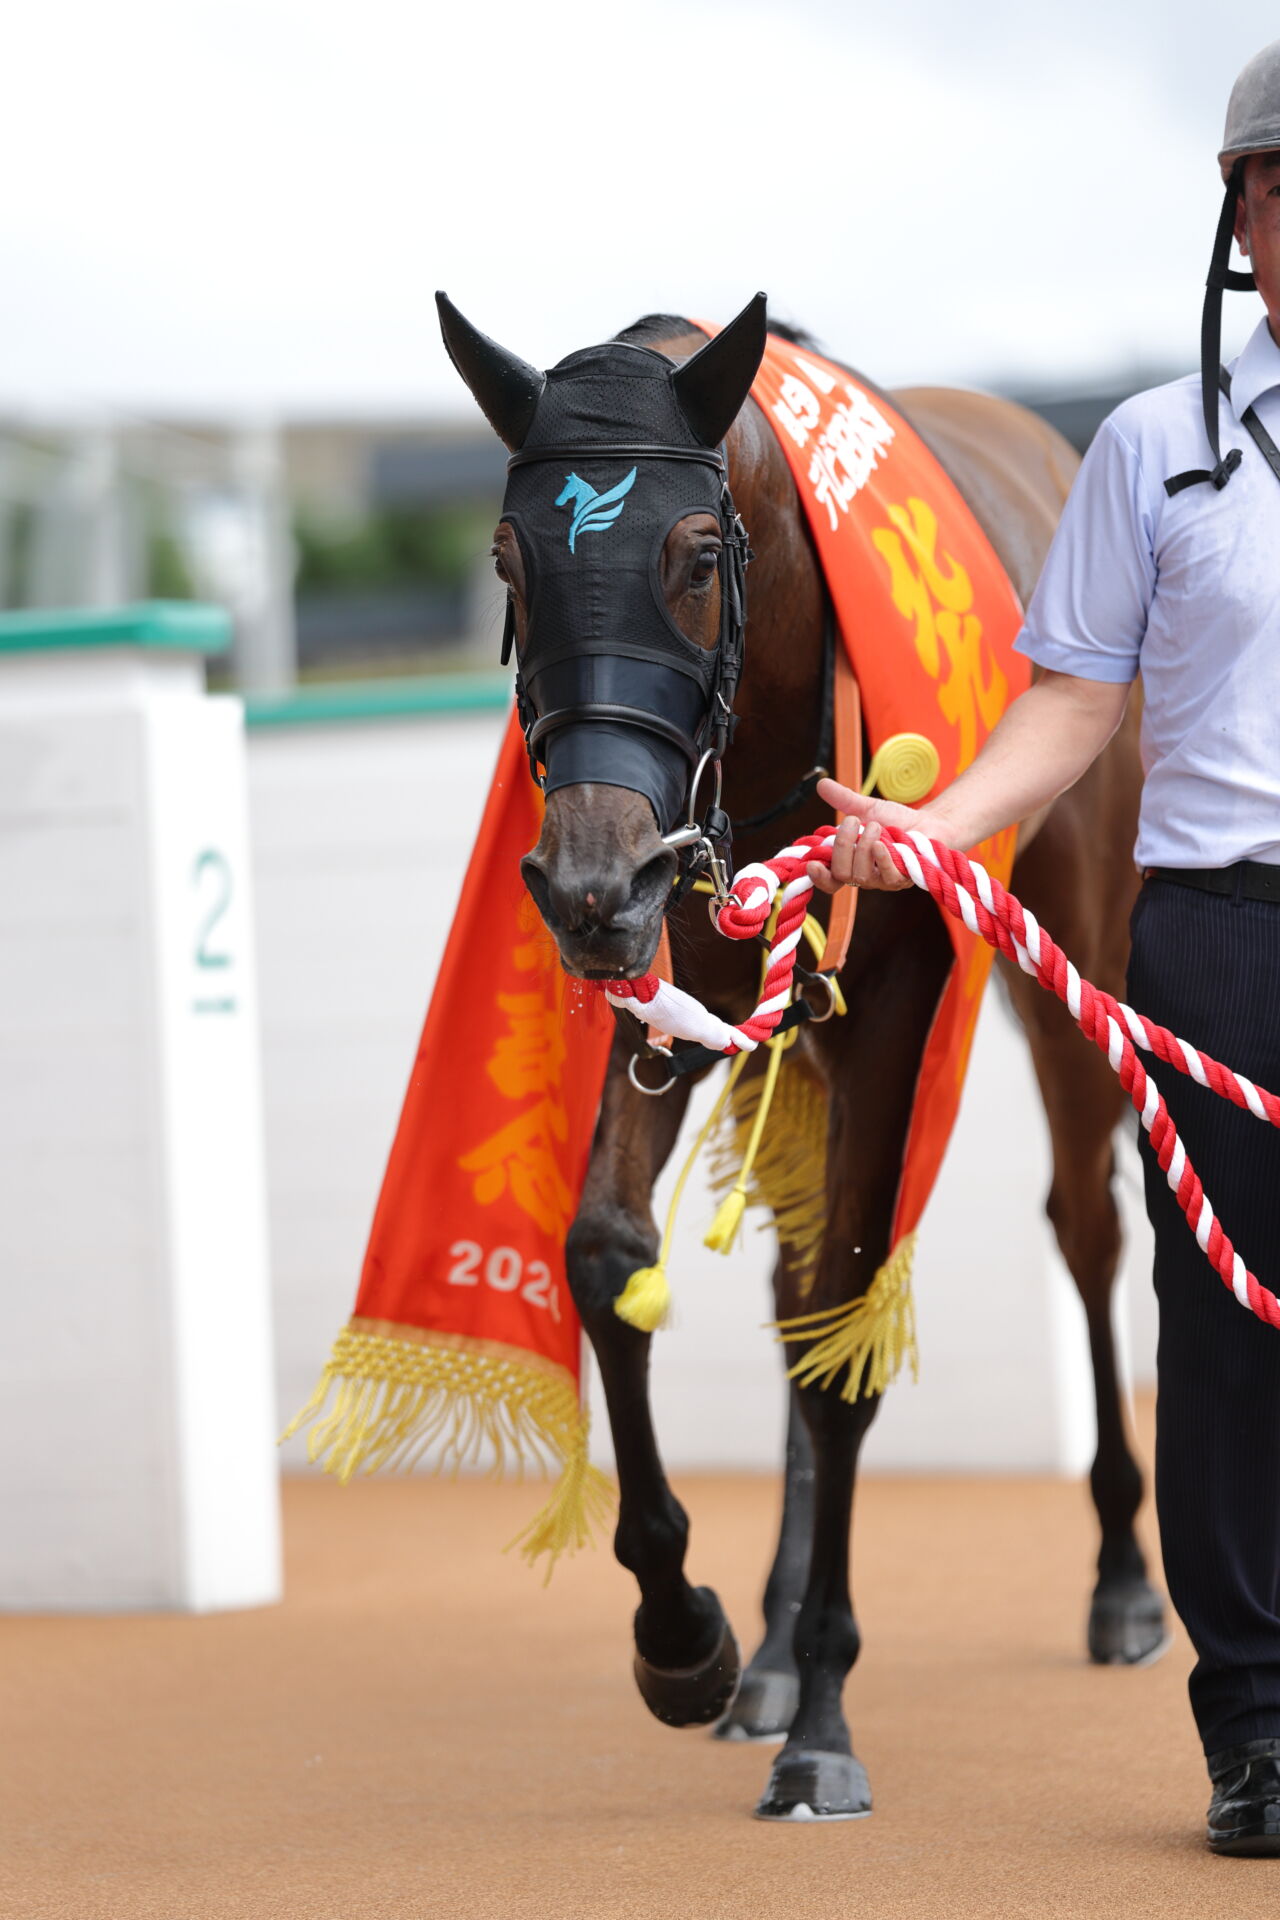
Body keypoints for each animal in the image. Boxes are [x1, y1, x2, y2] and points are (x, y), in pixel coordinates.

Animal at [435, 291, 1166, 1820]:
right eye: (509, 557)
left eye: (698, 554)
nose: (585, 886)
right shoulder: (674, 992)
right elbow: (610, 1253)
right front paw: (690, 1638)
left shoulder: (892, 1001)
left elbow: (844, 1318)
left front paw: (825, 1714)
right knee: (785, 1281)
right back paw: (763, 1653)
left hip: (1074, 932)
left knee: (1083, 1225)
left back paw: (1123, 1579)